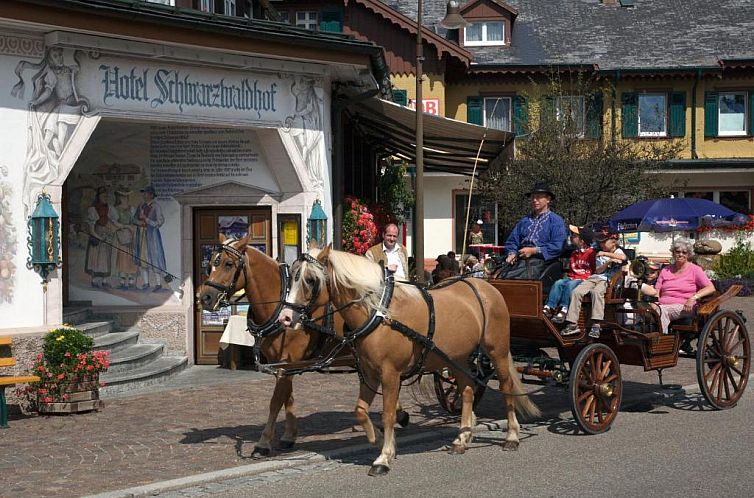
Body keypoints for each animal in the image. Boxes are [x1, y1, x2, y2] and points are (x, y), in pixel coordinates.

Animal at [194, 236, 406, 460]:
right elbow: (287, 397)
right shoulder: (283, 364)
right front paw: (289, 436)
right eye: (210, 264)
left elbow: (275, 400)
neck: (280, 305)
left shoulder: (287, 362)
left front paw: (263, 442)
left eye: (228, 263)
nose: (204, 297)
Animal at [280, 247, 536, 476]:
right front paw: (379, 440)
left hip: (497, 351)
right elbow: (360, 411)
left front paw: (383, 458)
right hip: (458, 358)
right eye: (292, 276)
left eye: (310, 280)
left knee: (506, 387)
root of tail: (486, 286)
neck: (379, 313)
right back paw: (461, 439)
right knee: (466, 391)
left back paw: (512, 436)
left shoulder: (390, 375)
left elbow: (388, 414)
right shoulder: (369, 373)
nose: (285, 317)